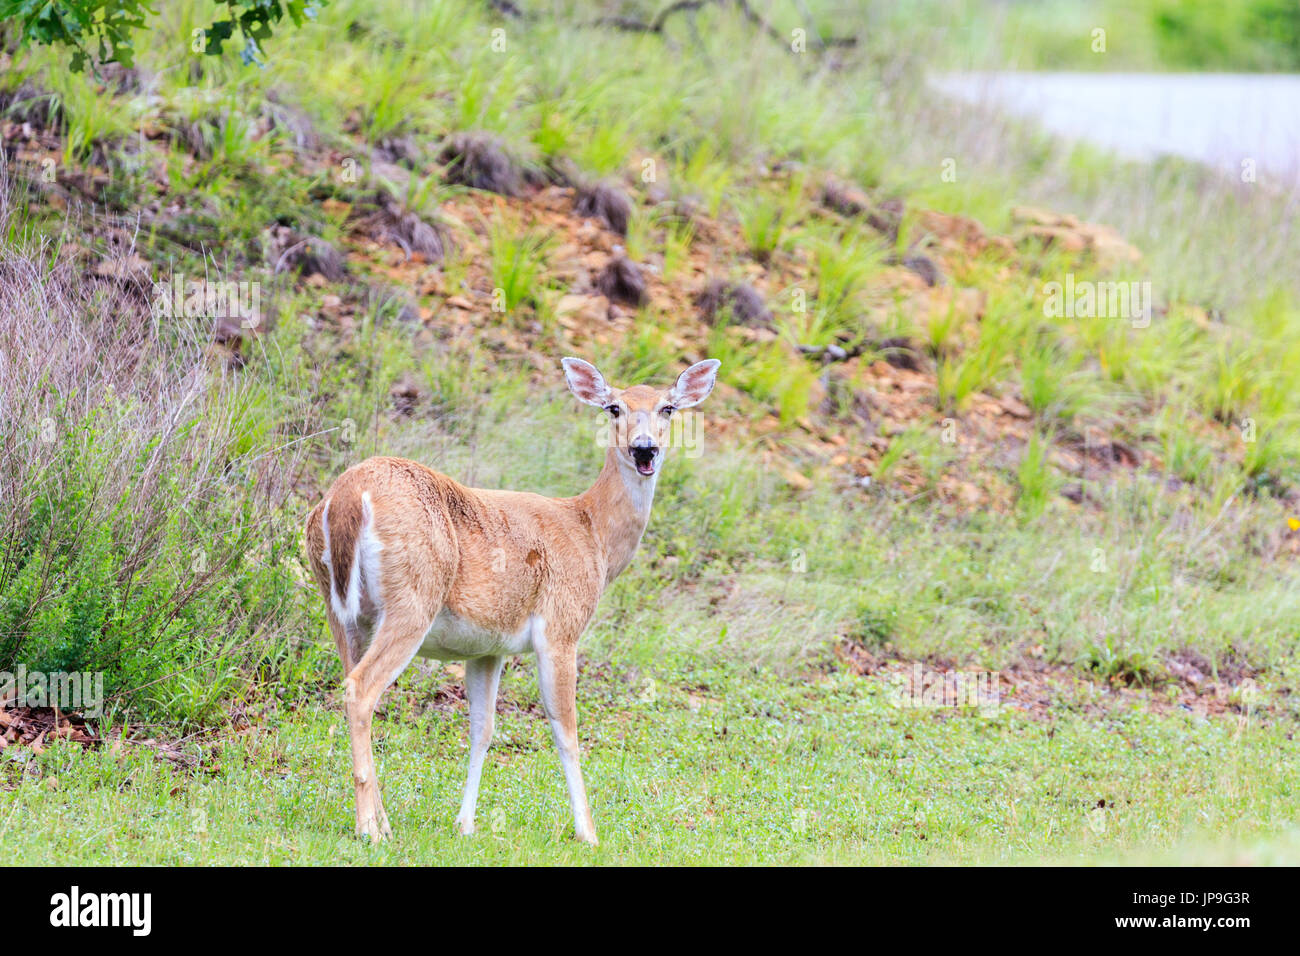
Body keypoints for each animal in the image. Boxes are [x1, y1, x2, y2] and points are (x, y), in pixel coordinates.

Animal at [304, 358, 722, 842]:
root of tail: (346, 498)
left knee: (354, 683)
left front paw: (465, 824)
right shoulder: (560, 628)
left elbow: (482, 729)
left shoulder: (487, 647)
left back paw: (381, 821)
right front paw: (588, 832)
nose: (644, 449)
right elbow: (566, 729)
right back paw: (370, 828)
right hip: (414, 596)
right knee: (360, 689)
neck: (592, 533)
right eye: (613, 407)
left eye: (668, 408)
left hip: (339, 609)